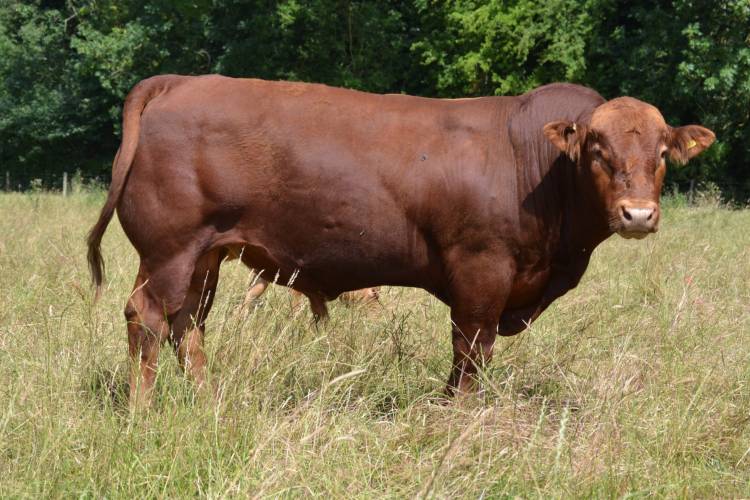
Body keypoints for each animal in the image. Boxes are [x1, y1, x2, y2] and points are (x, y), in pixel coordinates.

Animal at [87, 75, 715, 407]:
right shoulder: (481, 271)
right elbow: (471, 349)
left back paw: (208, 400)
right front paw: (458, 414)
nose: (638, 214)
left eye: (662, 153)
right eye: (597, 151)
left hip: (205, 256)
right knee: (147, 316)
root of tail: (182, 82)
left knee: (187, 322)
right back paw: (146, 411)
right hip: (170, 249)